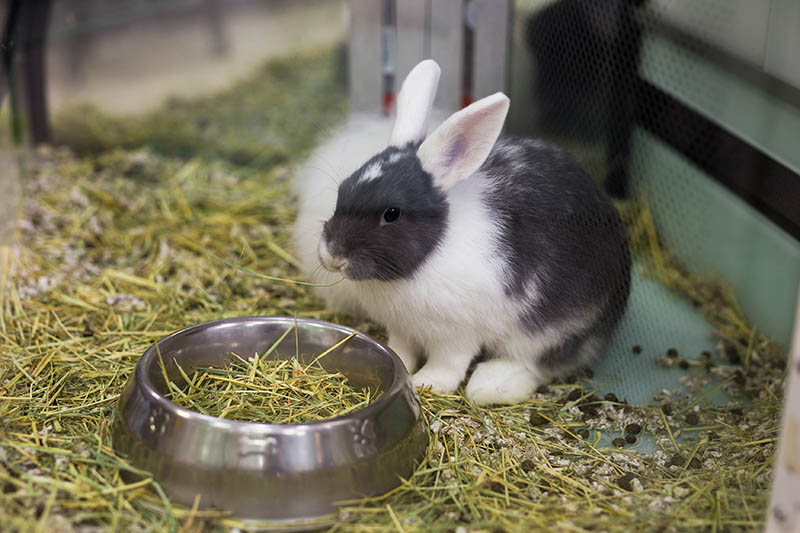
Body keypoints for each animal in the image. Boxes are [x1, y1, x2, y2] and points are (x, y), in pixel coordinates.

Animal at [294, 59, 631, 405]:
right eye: (343, 189)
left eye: (392, 214)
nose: (332, 256)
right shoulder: (401, 328)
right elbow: (401, 349)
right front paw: (400, 363)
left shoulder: (456, 336)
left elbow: (448, 363)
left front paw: (428, 382)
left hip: (548, 332)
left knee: (535, 363)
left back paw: (490, 384)